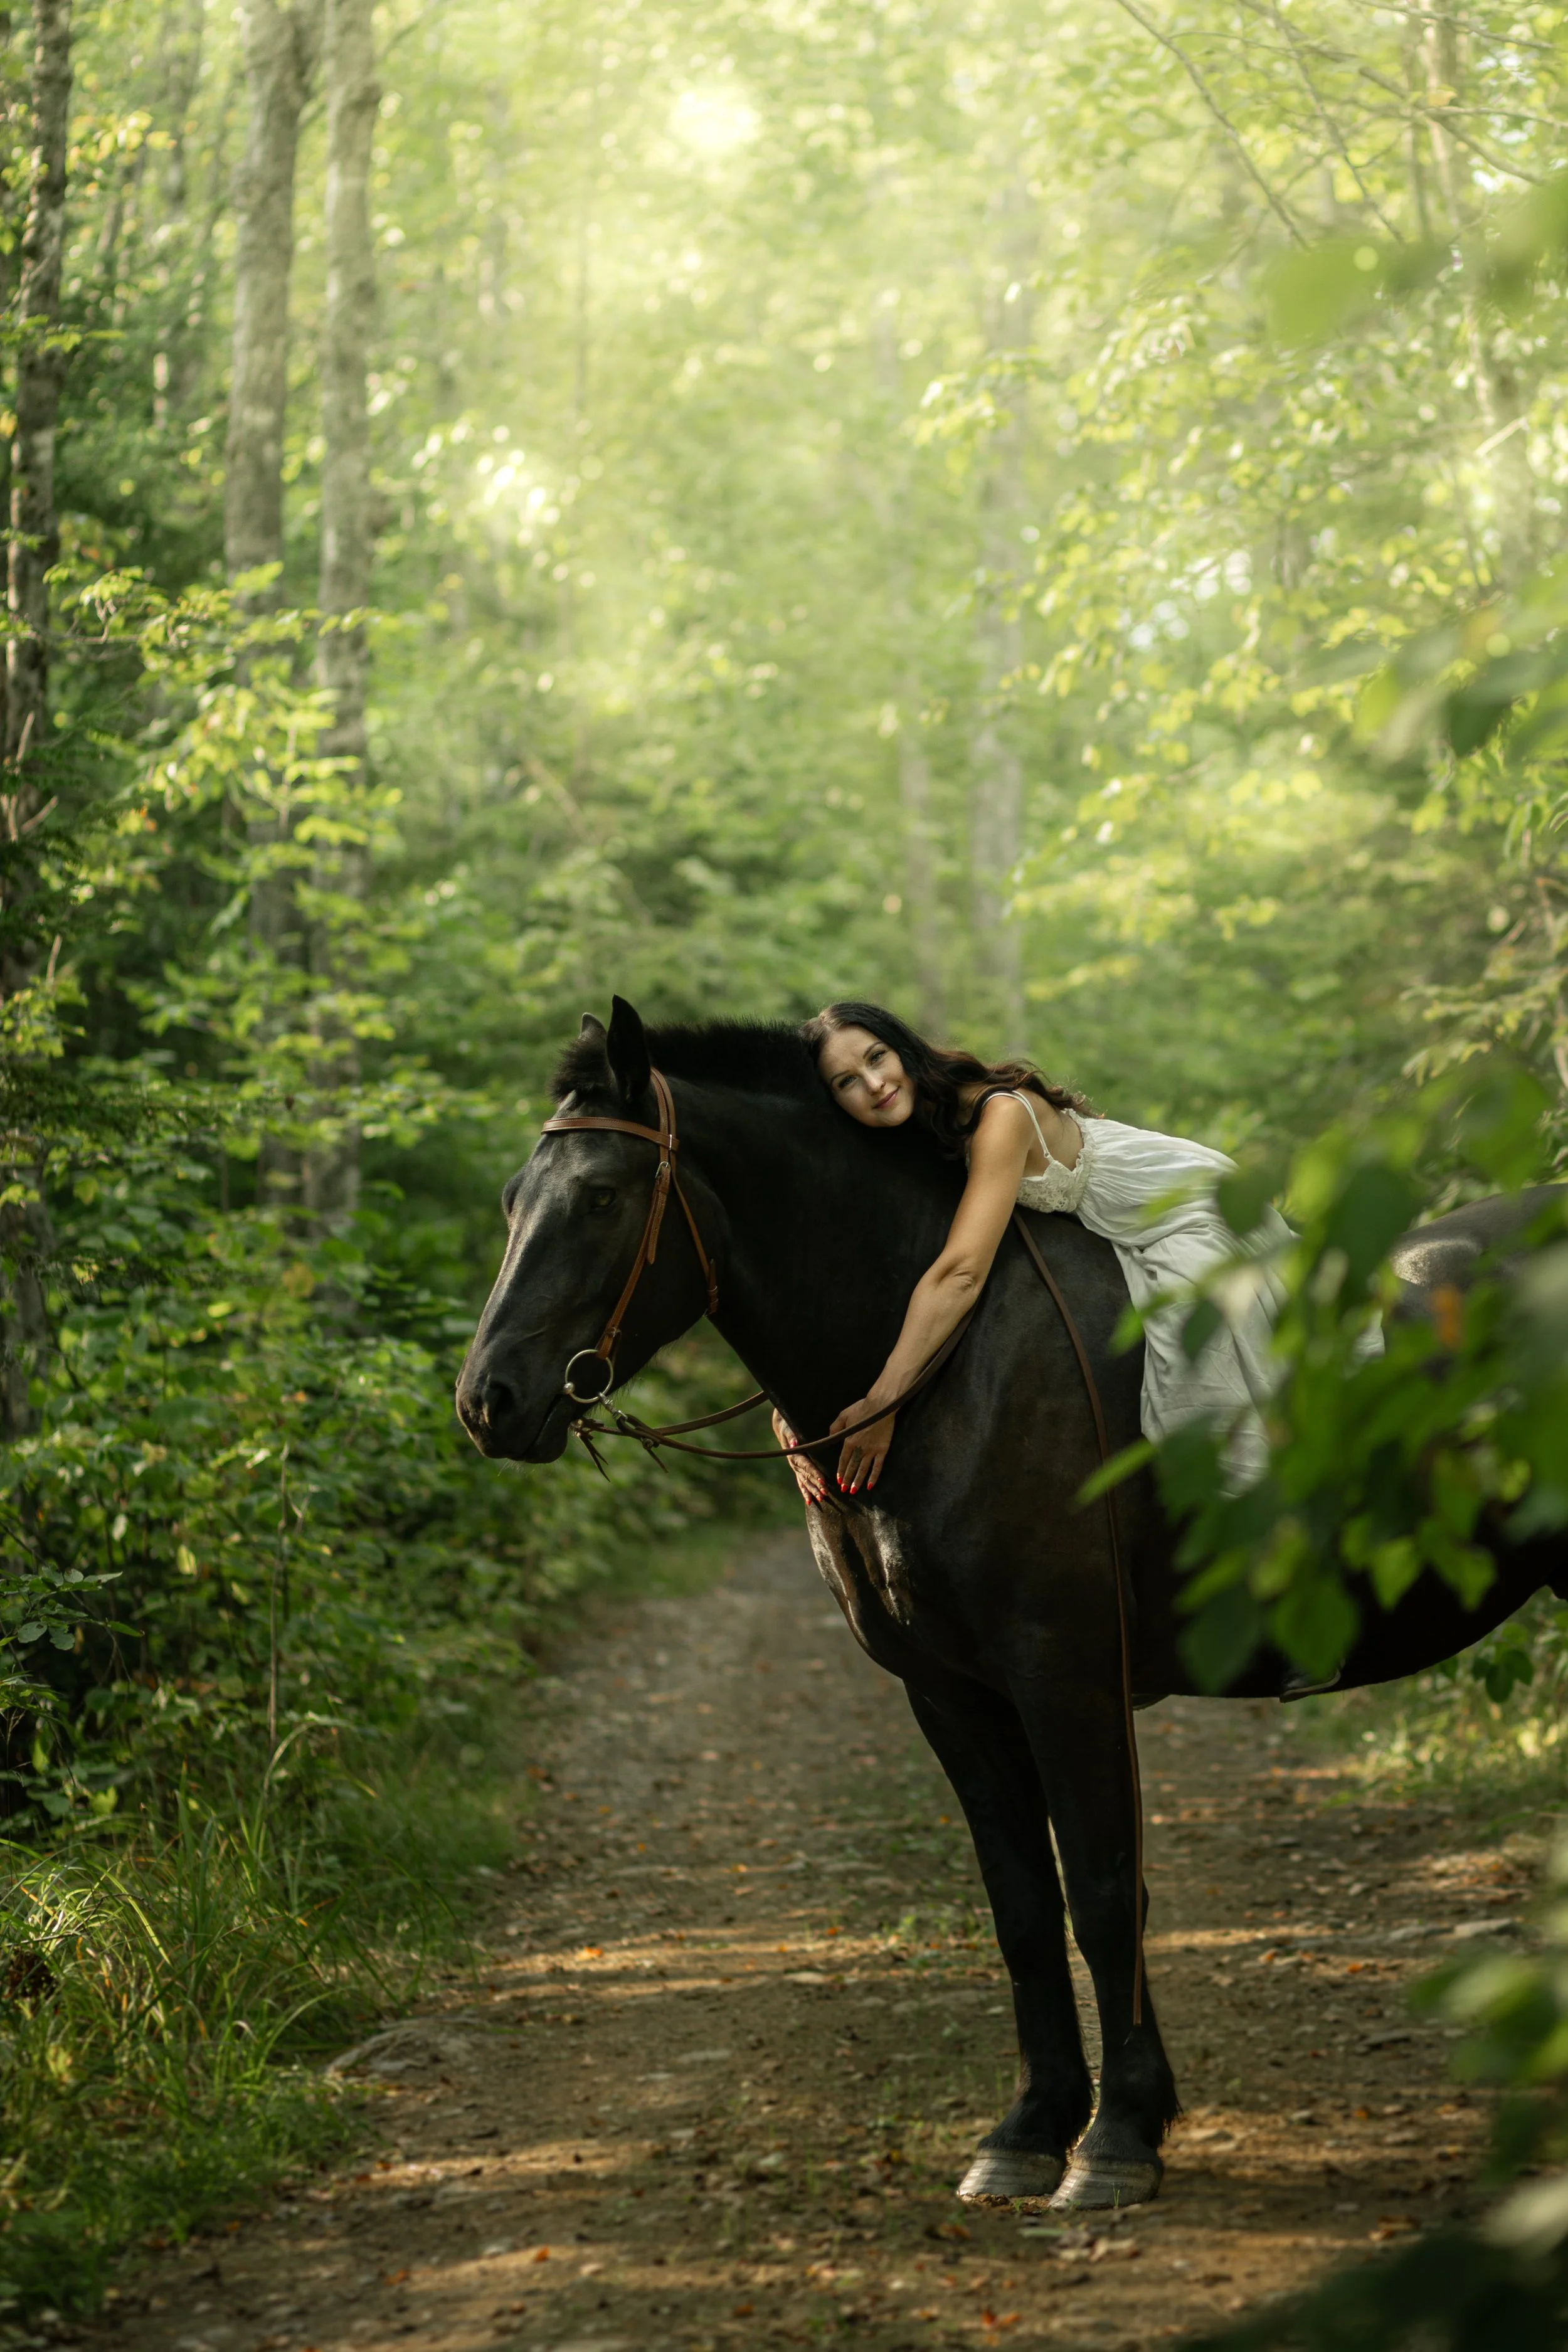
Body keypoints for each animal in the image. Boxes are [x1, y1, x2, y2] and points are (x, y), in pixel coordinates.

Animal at [456, 998, 1567, 2212]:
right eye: (510, 1199)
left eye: (602, 1197)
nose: (488, 1401)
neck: (947, 1365)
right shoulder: (951, 1693)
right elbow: (1026, 1906)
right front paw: (1035, 2128)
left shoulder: (1065, 1677)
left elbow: (1105, 1890)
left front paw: (1119, 2138)